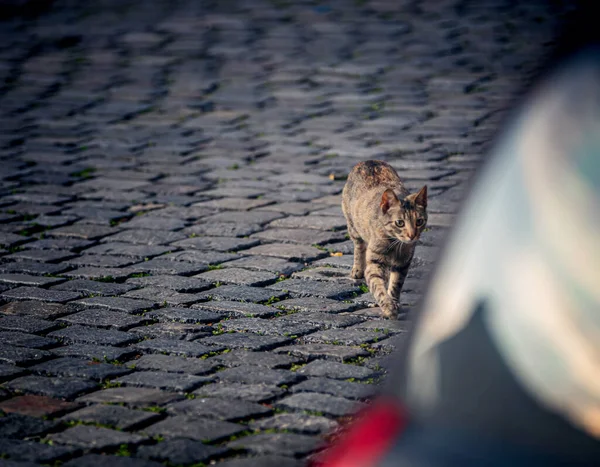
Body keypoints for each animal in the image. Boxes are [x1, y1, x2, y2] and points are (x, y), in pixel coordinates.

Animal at [342, 160, 426, 318]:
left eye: (419, 221)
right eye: (399, 223)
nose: (412, 235)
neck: (396, 244)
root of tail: (367, 161)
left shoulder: (403, 263)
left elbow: (395, 284)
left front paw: (394, 301)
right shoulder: (374, 263)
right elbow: (377, 286)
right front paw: (387, 306)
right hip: (353, 226)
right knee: (358, 246)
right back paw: (357, 268)